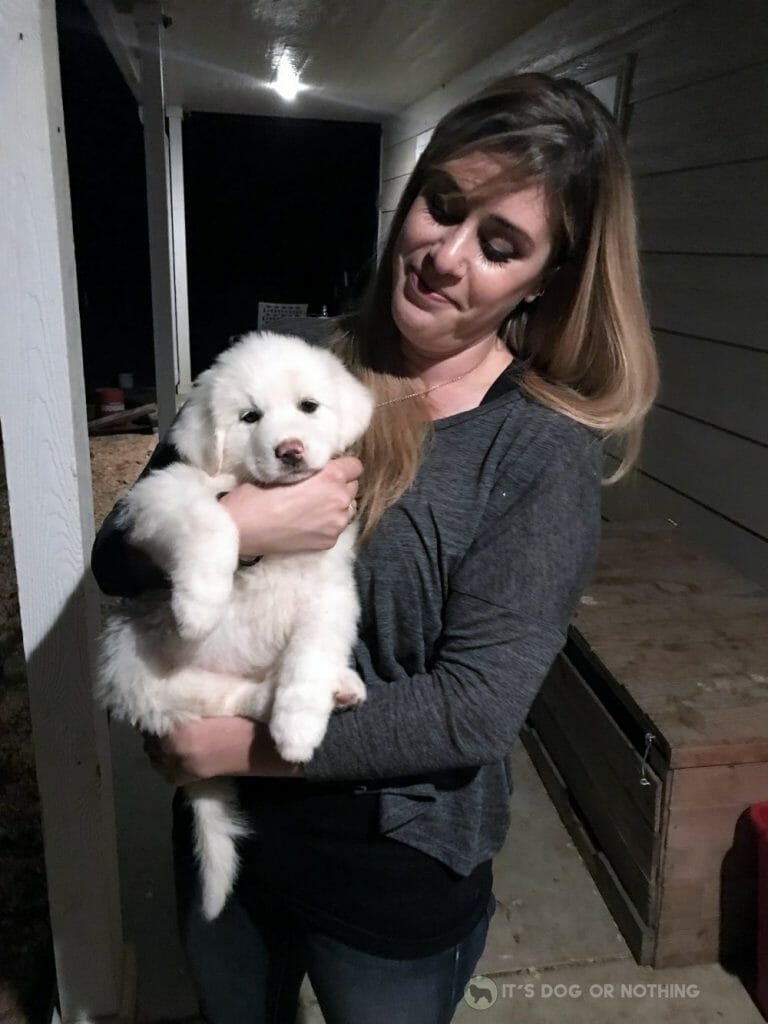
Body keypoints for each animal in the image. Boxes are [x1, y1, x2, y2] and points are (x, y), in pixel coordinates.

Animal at [97, 333, 374, 921]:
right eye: (250, 417)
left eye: (309, 407)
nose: (289, 450)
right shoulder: (161, 494)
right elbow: (213, 520)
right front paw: (202, 603)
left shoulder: (330, 593)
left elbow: (310, 658)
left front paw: (299, 726)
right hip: (130, 654)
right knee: (218, 701)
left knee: (247, 695)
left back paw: (334, 689)